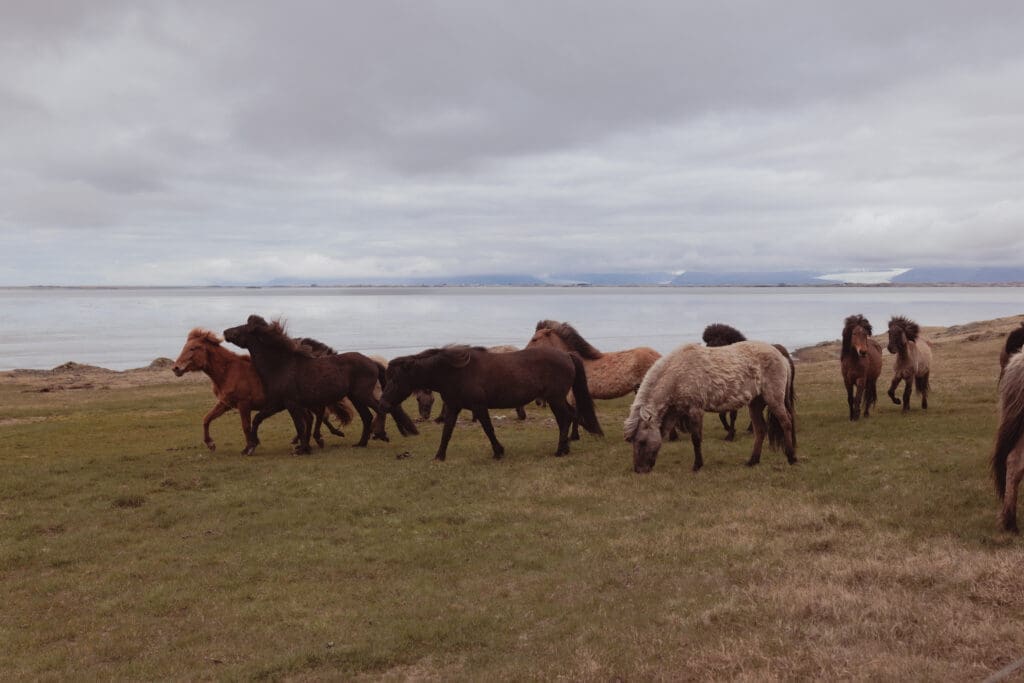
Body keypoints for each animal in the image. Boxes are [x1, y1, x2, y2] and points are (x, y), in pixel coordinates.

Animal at [171, 329, 352, 454]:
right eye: (185, 347)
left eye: (194, 348)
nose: (176, 368)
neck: (229, 371)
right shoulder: (225, 404)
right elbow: (206, 419)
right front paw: (210, 444)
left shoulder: (244, 405)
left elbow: (246, 426)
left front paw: (250, 447)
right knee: (314, 417)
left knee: (320, 414)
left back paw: (318, 438)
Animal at [223, 315, 417, 454]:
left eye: (241, 328)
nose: (225, 332)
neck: (280, 367)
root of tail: (371, 362)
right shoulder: (279, 405)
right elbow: (260, 419)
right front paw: (252, 446)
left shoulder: (289, 404)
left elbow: (299, 425)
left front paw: (302, 449)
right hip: (355, 397)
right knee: (367, 416)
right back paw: (361, 443)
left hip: (363, 394)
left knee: (380, 409)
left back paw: (380, 434)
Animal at [379, 345, 602, 461]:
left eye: (395, 380)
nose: (383, 403)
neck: (455, 371)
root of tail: (566, 354)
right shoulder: (453, 407)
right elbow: (447, 432)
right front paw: (439, 456)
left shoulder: (479, 406)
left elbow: (488, 429)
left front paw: (498, 452)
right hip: (557, 399)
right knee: (569, 416)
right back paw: (565, 448)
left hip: (555, 398)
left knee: (567, 418)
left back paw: (560, 450)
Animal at [528, 320, 660, 439]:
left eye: (535, 339)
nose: (525, 351)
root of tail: (658, 356)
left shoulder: (574, 396)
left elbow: (577, 415)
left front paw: (575, 436)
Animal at [624, 341, 796, 473]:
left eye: (641, 441)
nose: (639, 470)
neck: (678, 373)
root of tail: (781, 357)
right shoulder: (676, 411)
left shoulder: (695, 410)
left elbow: (696, 439)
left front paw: (697, 465)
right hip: (755, 404)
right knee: (760, 430)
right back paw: (753, 461)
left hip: (774, 399)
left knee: (786, 422)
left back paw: (791, 457)